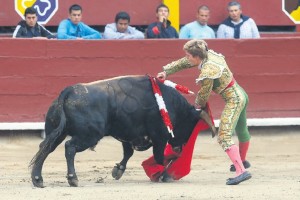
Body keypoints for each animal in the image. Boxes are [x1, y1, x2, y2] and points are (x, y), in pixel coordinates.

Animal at [29, 75, 214, 188]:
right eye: (190, 125)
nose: (179, 147)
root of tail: (69, 91)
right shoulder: (159, 136)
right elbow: (159, 156)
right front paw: (165, 175)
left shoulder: (128, 134)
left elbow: (128, 153)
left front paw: (118, 170)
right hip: (89, 135)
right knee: (70, 147)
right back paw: (73, 178)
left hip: (56, 131)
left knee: (45, 148)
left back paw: (38, 179)